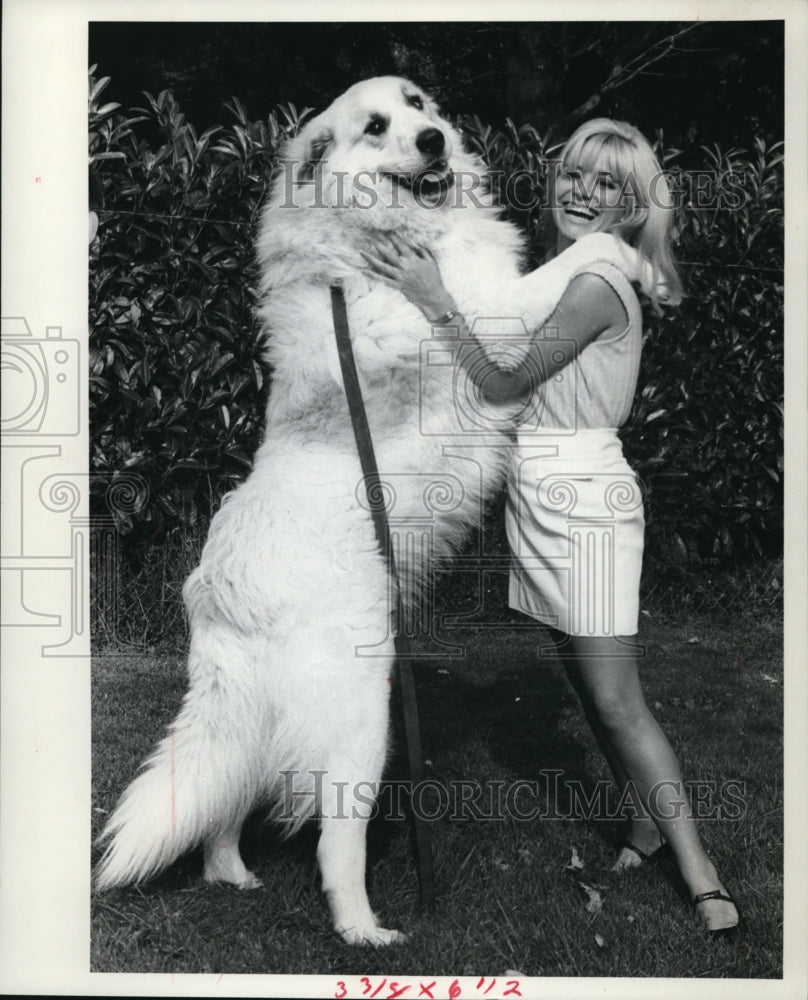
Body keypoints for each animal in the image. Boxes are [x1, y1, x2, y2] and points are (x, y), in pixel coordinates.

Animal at [94, 76, 640, 944]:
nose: (433, 141)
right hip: (362, 720)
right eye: (376, 126)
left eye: (417, 104)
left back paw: (231, 873)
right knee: (334, 840)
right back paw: (364, 927)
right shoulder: (495, 315)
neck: (369, 242)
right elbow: (567, 263)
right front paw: (630, 255)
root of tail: (218, 591)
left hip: (255, 715)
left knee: (227, 799)